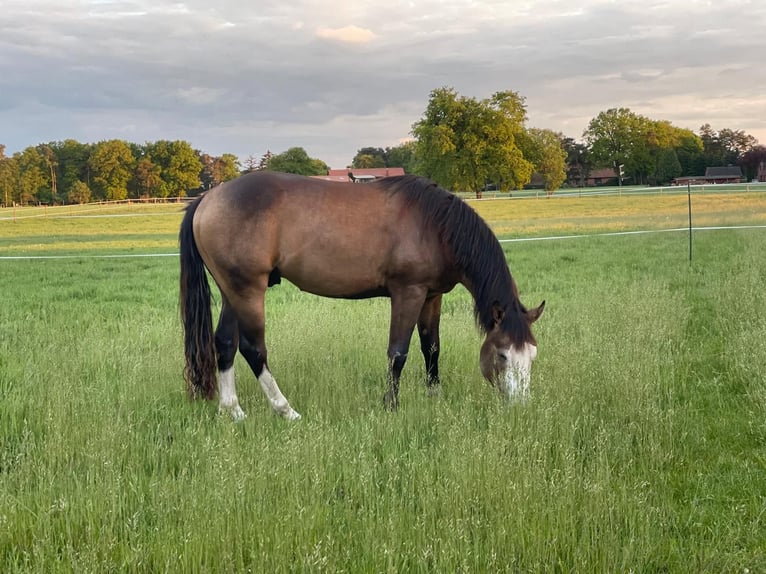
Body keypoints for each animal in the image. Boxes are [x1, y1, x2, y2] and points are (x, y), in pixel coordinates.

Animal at [179, 171, 544, 420]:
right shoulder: (408, 293)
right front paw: (391, 405)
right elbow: (398, 353)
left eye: (532, 355)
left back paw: (233, 411)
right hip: (249, 290)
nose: (521, 407)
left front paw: (434, 397)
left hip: (232, 292)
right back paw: (286, 410)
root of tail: (207, 199)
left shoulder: (431, 296)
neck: (435, 226)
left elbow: (432, 348)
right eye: (502, 355)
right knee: (253, 349)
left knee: (225, 343)